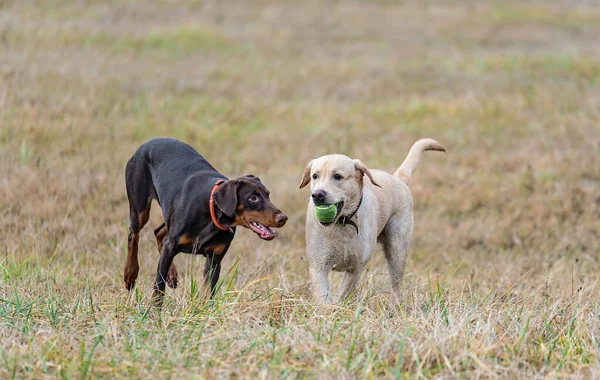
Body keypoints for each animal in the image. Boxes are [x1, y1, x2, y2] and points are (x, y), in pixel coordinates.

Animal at [123, 138, 288, 304]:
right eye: (253, 198)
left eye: (268, 195)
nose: (283, 218)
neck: (211, 213)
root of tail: (147, 143)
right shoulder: (171, 246)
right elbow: (159, 284)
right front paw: (154, 308)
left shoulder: (214, 260)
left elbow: (208, 292)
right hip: (140, 208)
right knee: (134, 235)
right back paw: (130, 274)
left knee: (159, 233)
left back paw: (171, 275)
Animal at [300, 140, 446, 302]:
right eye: (315, 176)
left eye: (337, 176)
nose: (317, 195)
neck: (343, 223)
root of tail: (397, 178)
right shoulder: (318, 266)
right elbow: (323, 298)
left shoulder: (355, 268)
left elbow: (342, 293)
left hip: (397, 249)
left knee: (396, 284)